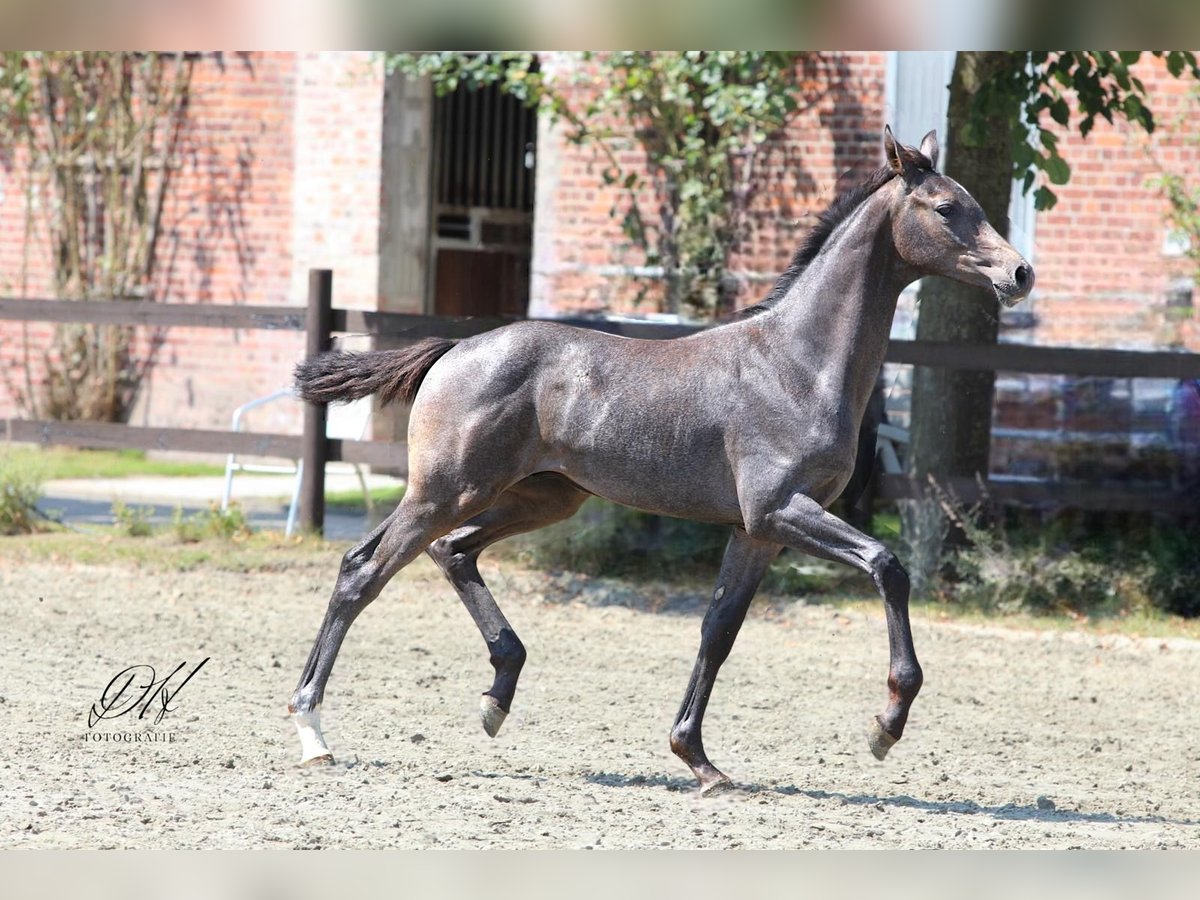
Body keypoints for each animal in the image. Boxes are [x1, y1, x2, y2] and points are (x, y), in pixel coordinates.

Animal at [288, 128, 1032, 796]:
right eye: (946, 207)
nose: (1020, 273)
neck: (797, 362)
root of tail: (453, 349)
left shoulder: (758, 531)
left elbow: (719, 630)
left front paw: (698, 760)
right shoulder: (782, 510)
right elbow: (887, 565)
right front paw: (886, 725)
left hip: (543, 497)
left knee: (454, 552)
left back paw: (497, 695)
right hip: (445, 490)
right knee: (363, 572)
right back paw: (313, 732)